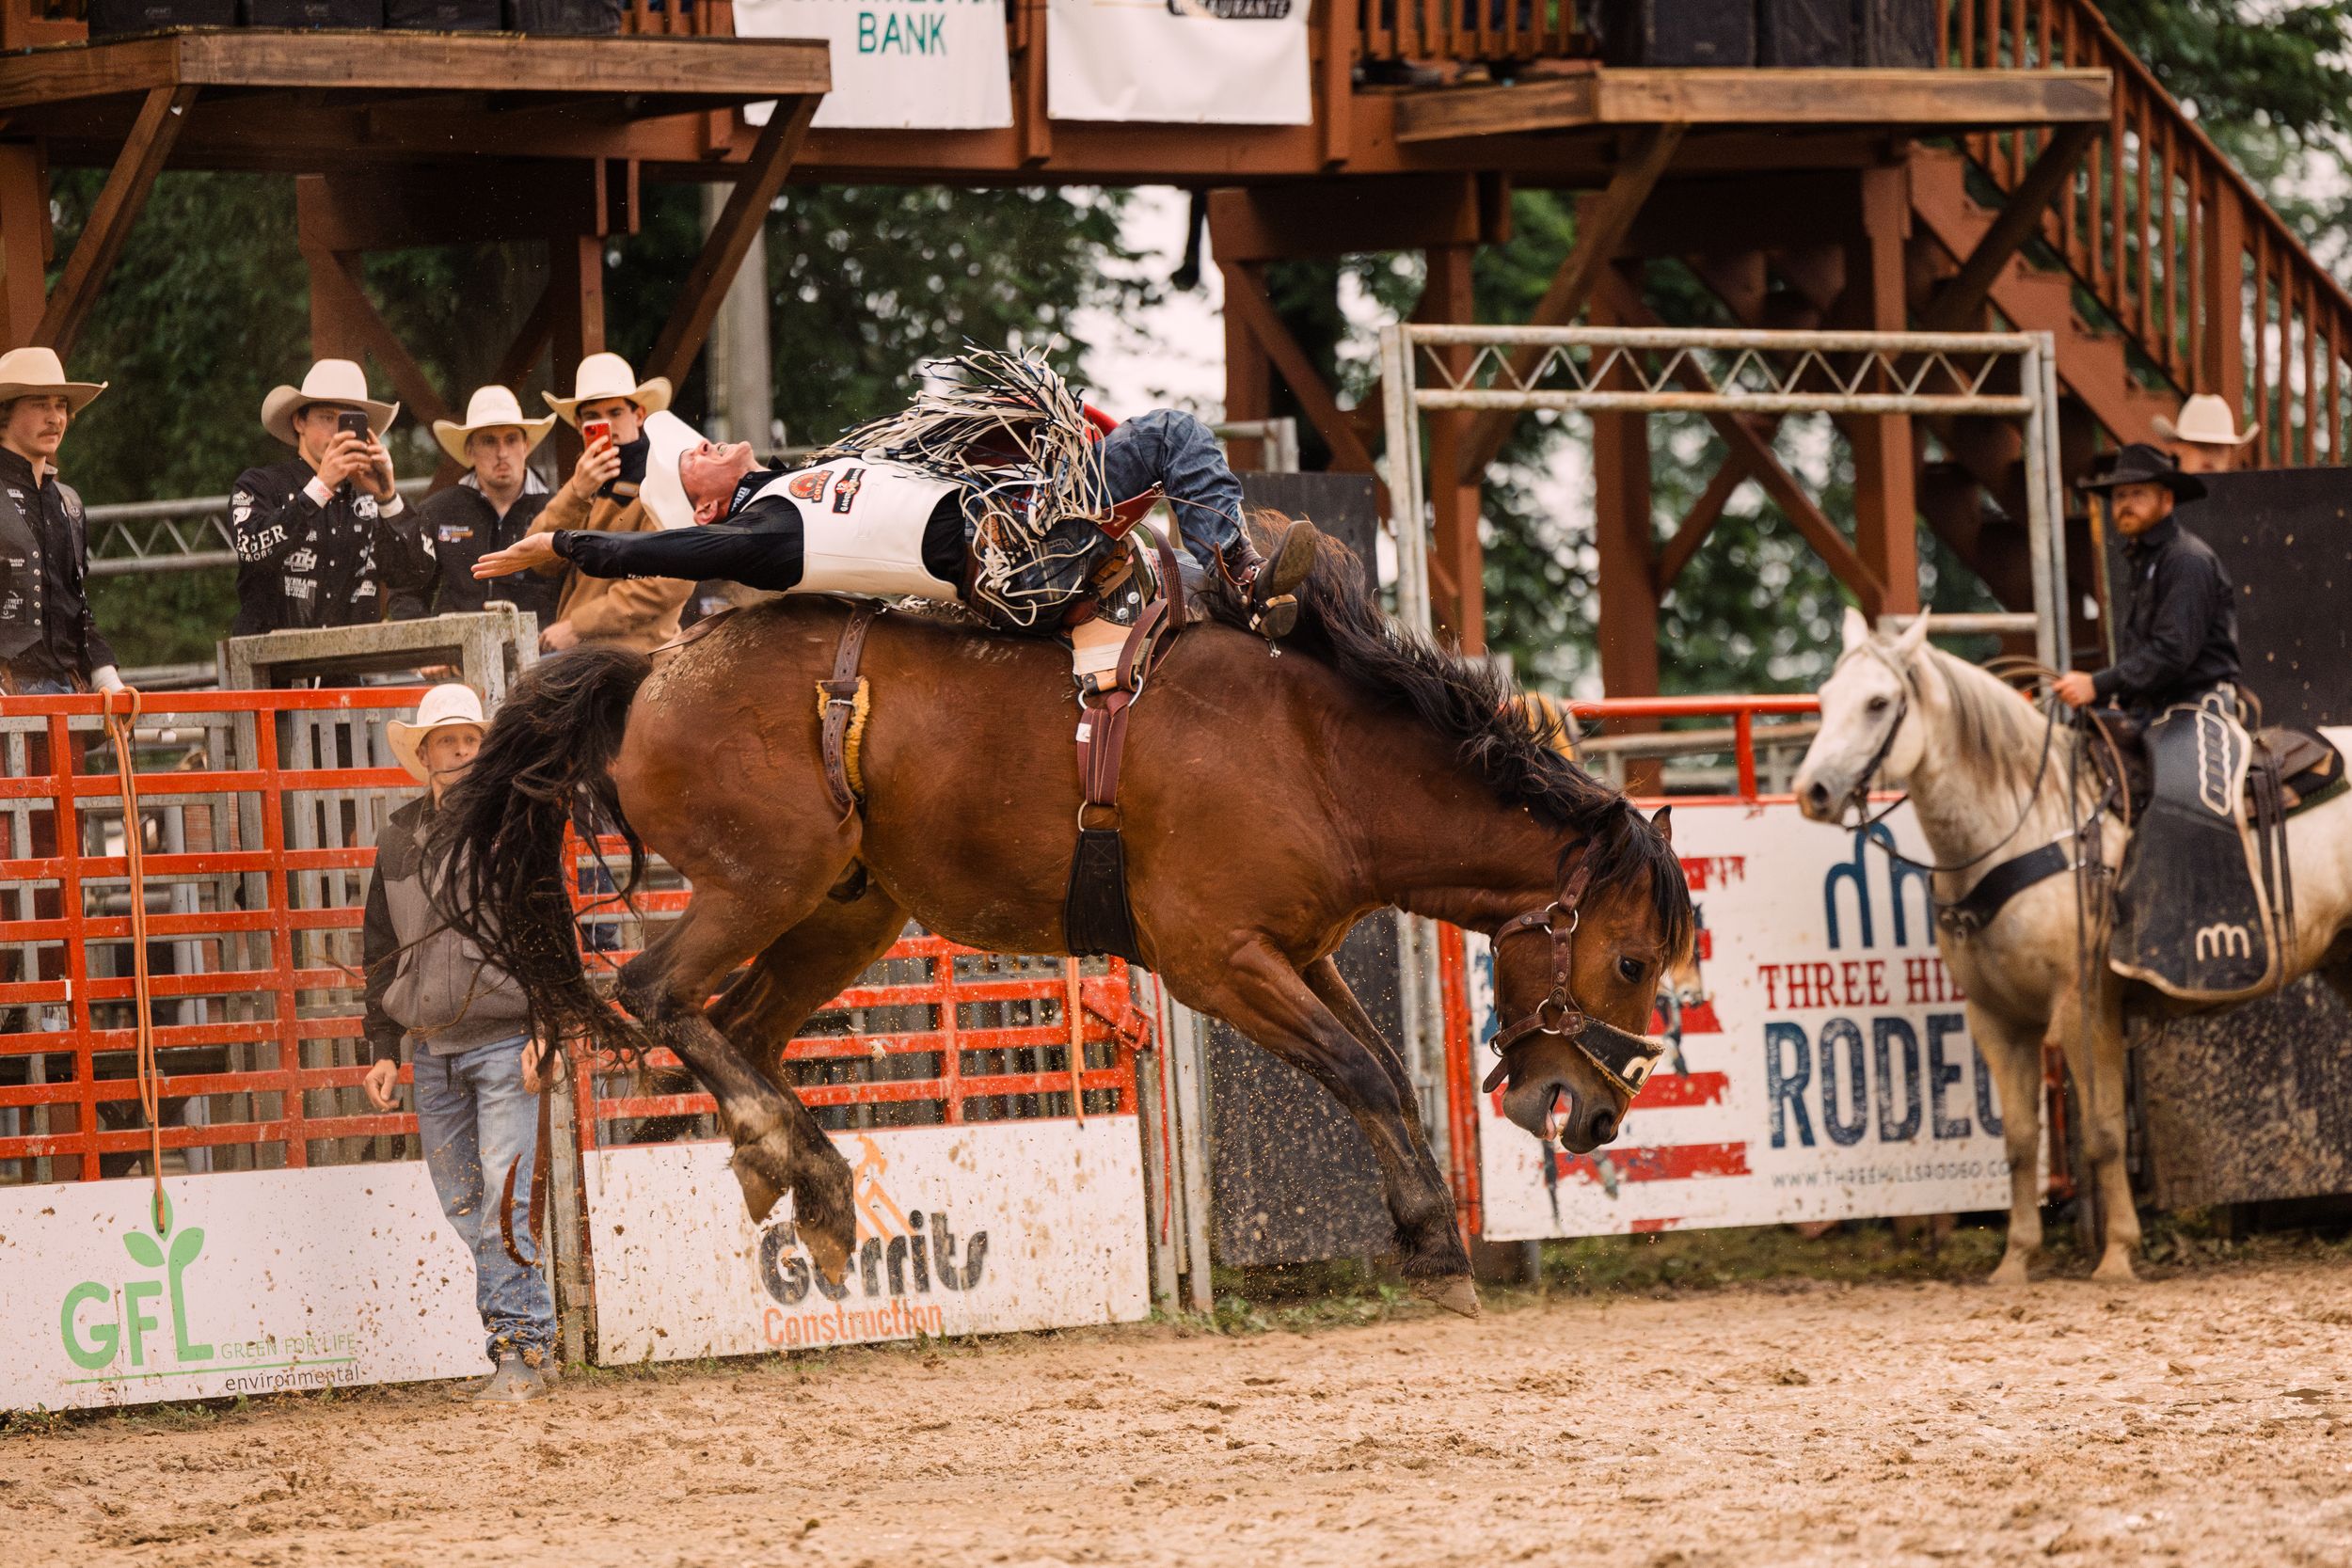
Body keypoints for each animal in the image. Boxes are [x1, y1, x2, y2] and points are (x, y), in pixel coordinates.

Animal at [428, 527, 1692, 1315]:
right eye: (1633, 956)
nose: (1594, 1112)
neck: (1317, 757)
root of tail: (653, 671)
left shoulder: (1301, 952)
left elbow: (1379, 1066)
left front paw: (1431, 1237)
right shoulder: (1215, 960)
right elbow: (1361, 1069)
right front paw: (1437, 1248)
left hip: (847, 911)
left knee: (738, 1022)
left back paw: (790, 1177)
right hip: (758, 880)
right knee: (657, 993)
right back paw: (798, 1165)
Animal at [1791, 609, 2352, 1283]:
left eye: (1878, 703)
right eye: (1824, 699)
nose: (1812, 791)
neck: (2022, 824)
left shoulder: (2086, 1006)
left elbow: (2105, 1133)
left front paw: (2117, 1253)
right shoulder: (1998, 1019)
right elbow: (2020, 1142)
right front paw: (2015, 1260)